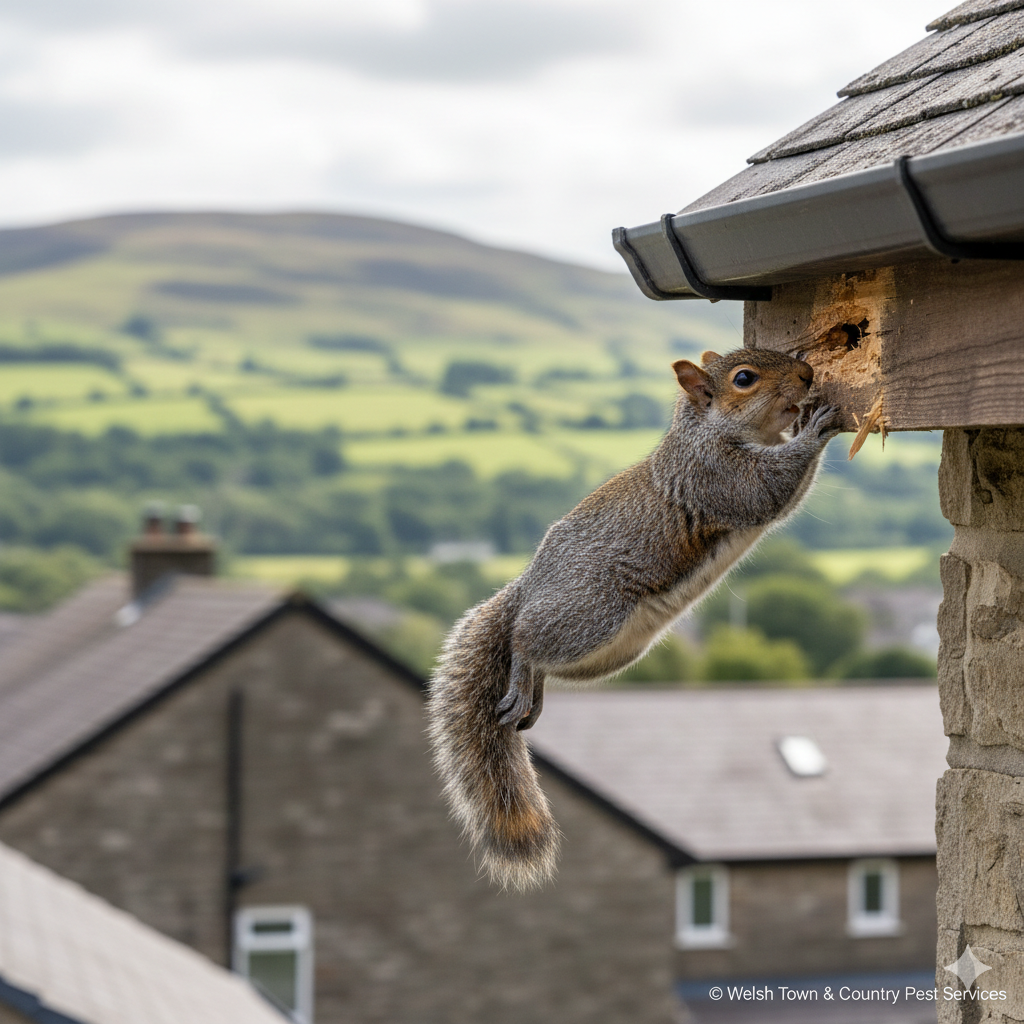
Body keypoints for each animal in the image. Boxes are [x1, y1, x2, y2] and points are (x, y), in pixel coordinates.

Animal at [426, 347, 842, 890]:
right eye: (744, 379)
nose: (808, 374)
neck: (704, 432)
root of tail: (529, 586)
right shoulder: (716, 476)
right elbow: (767, 489)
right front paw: (816, 428)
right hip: (590, 614)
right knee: (524, 642)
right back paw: (520, 676)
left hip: (611, 650)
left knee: (544, 661)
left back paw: (534, 694)